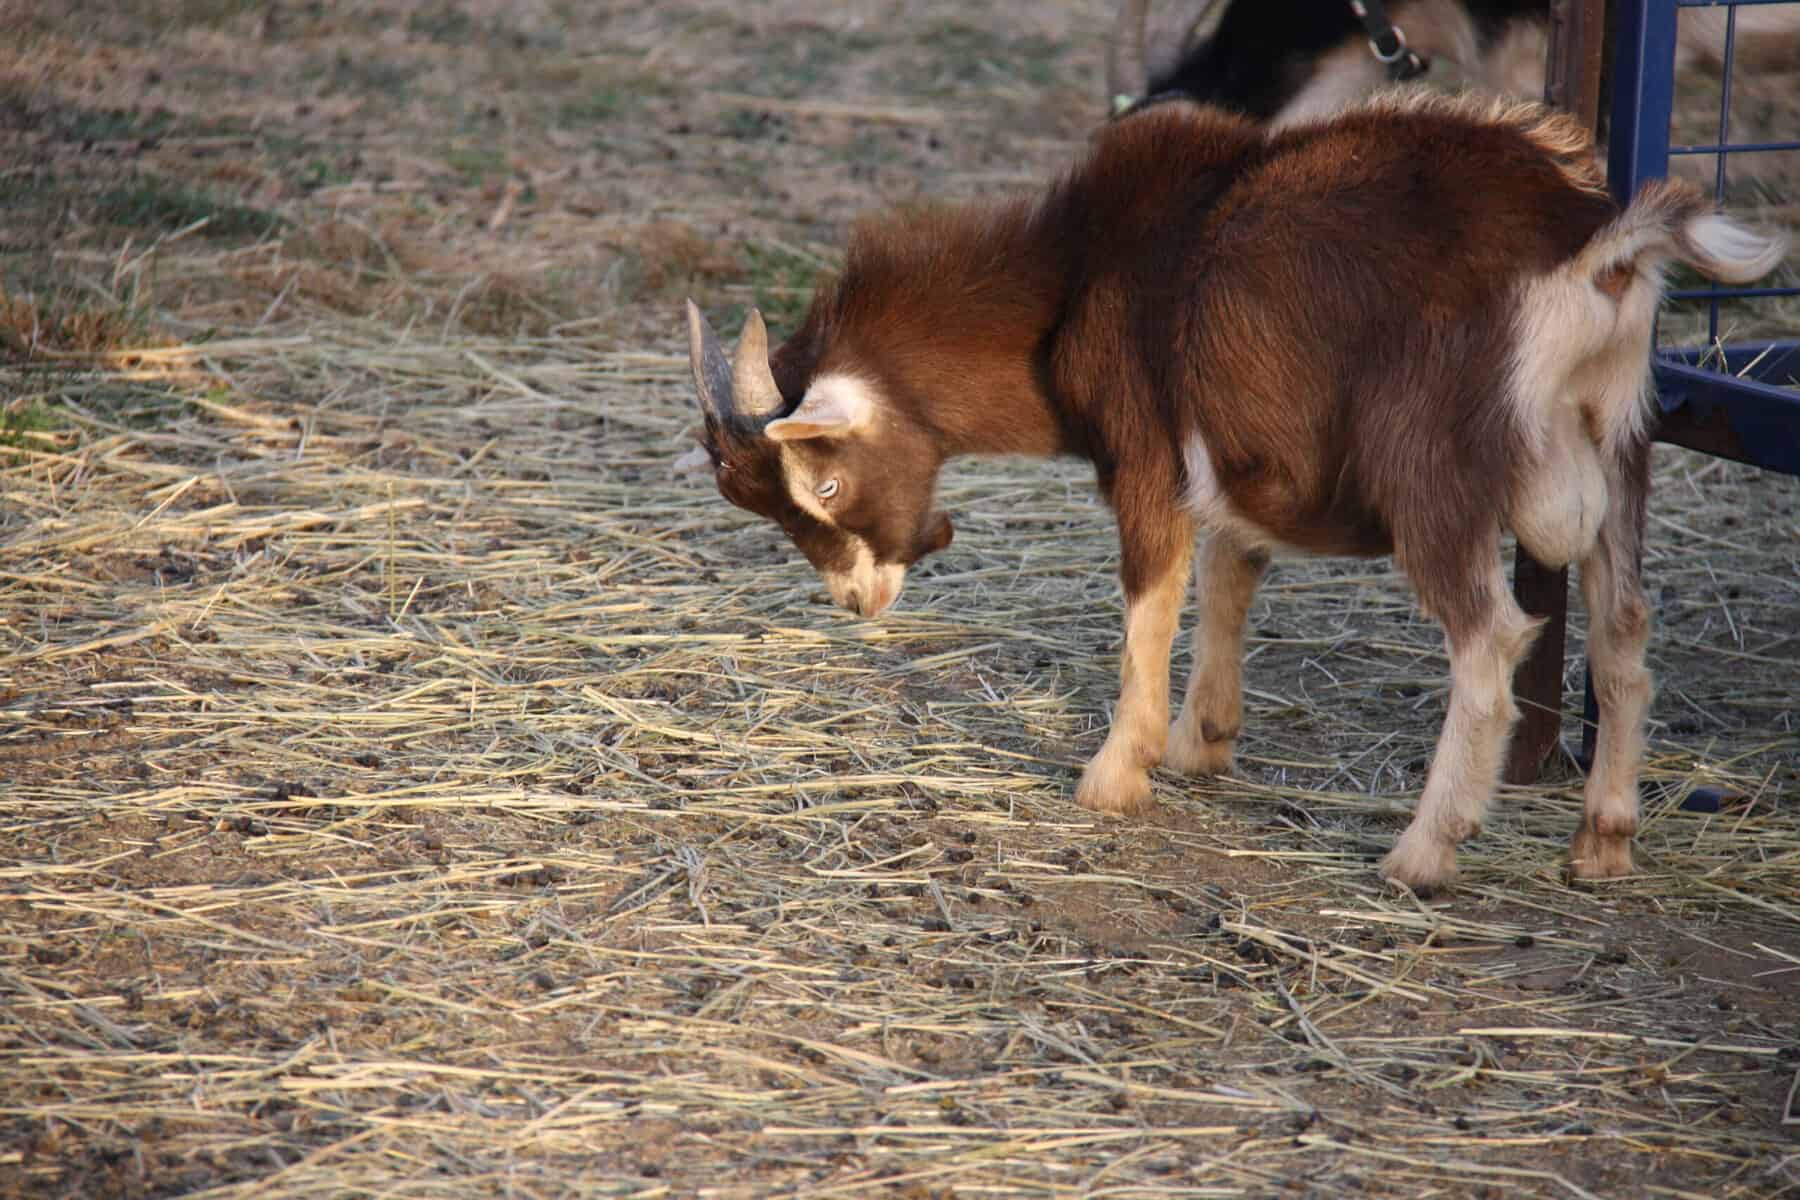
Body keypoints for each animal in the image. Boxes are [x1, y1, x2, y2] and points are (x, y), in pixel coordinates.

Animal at [676, 94, 1785, 892]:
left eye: (825, 479)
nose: (856, 603)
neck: (1076, 277)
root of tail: (1590, 247)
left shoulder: (1144, 455)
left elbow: (1150, 602)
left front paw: (1115, 777)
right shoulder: (1237, 446)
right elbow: (1228, 570)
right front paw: (1201, 746)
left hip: (1433, 466)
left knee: (1492, 639)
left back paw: (1422, 856)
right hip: (1623, 434)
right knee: (1625, 622)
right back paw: (1604, 843)